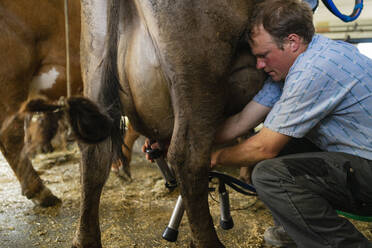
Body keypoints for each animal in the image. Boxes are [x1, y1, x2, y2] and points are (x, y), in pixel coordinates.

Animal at [56, 0, 264, 247]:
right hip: (199, 74)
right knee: (187, 158)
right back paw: (208, 241)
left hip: (94, 59)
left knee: (94, 156)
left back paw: (85, 240)